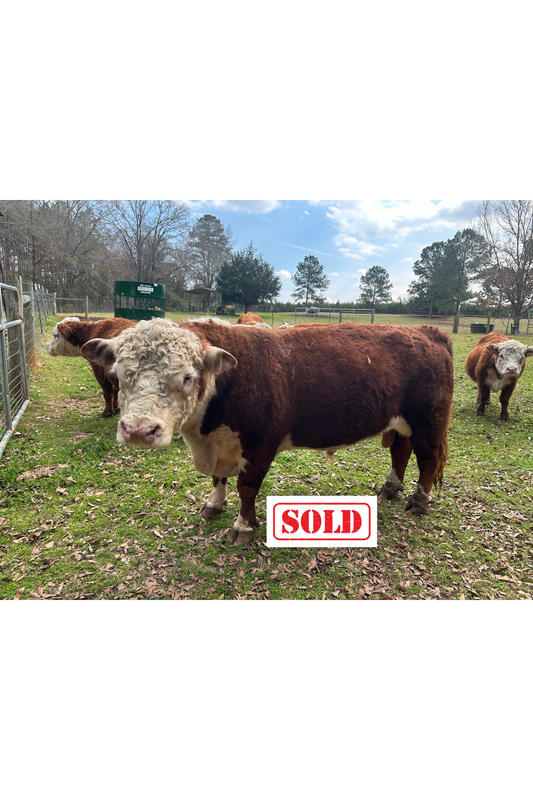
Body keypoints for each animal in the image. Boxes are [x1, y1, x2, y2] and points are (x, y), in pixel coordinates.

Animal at [82, 319, 454, 544]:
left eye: (187, 376)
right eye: (118, 373)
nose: (138, 430)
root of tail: (427, 331)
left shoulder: (260, 444)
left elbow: (247, 488)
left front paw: (242, 527)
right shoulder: (221, 446)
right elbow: (218, 478)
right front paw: (214, 503)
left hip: (428, 421)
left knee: (428, 458)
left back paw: (420, 501)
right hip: (402, 423)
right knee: (401, 451)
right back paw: (390, 487)